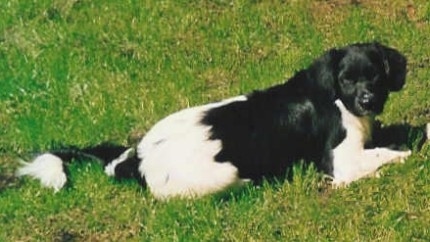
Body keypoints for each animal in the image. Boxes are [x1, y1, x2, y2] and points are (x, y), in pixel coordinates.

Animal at [15, 42, 424, 199]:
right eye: (347, 79)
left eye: (376, 76)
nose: (368, 99)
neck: (339, 101)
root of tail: (136, 158)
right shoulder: (342, 163)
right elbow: (387, 154)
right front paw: (405, 152)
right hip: (223, 176)